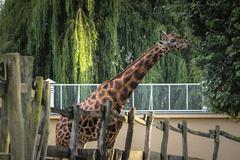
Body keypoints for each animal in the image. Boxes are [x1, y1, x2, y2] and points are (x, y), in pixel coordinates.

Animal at [55, 31, 188, 148]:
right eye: (173, 40)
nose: (186, 44)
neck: (118, 96)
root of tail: (57, 125)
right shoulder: (105, 135)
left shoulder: (113, 137)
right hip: (62, 141)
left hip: (80, 141)